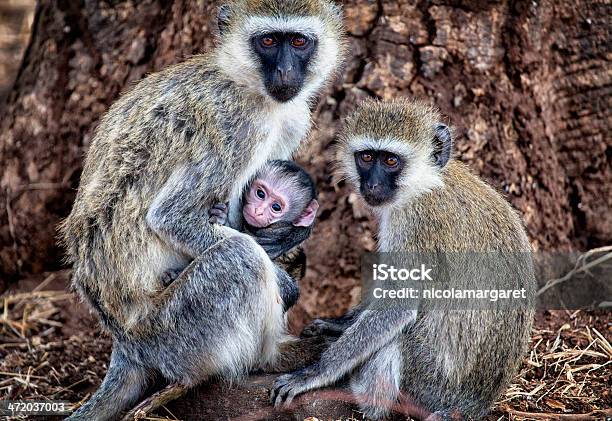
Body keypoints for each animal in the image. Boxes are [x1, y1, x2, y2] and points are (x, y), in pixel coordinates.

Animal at [62, 1, 350, 418]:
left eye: (298, 41)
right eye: (267, 41)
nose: (285, 72)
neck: (245, 82)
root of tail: (126, 344)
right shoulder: (235, 123)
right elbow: (172, 216)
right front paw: (283, 276)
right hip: (174, 330)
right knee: (239, 256)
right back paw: (275, 356)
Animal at [272, 99, 536, 420]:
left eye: (390, 161)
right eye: (367, 157)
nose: (372, 186)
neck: (427, 183)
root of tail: (474, 405)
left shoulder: (414, 224)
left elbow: (398, 305)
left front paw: (315, 373)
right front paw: (338, 324)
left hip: (429, 383)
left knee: (394, 343)